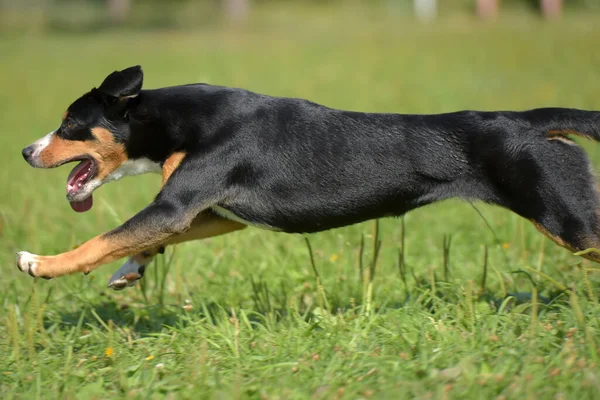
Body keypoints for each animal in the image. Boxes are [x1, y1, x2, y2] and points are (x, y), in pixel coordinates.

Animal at [16, 67, 600, 290]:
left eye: (69, 123)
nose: (25, 151)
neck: (174, 122)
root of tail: (529, 121)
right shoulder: (214, 215)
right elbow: (136, 243)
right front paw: (132, 270)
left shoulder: (175, 206)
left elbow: (100, 240)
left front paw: (39, 264)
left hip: (567, 217)